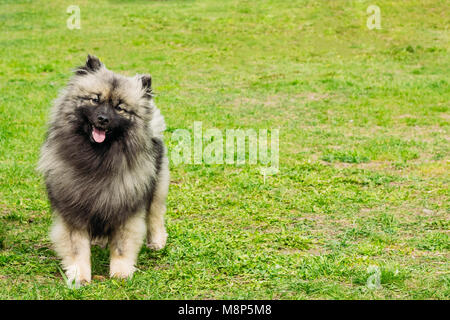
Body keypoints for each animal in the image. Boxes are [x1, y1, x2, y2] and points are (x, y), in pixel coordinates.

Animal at [37, 55, 169, 288]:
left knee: (155, 215)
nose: (103, 119)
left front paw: (121, 273)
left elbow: (121, 246)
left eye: (120, 108)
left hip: (157, 187)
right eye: (95, 100)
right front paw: (79, 275)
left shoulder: (125, 209)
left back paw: (157, 242)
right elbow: (77, 249)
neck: (98, 160)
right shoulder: (74, 210)